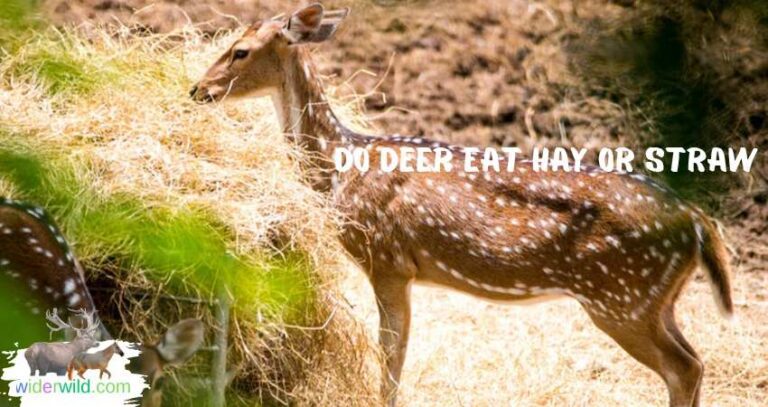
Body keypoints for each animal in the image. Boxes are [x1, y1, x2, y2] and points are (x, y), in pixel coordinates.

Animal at [190, 4, 734, 407]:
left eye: (239, 51)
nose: (197, 89)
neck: (341, 167)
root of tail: (697, 221)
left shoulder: (387, 260)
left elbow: (391, 356)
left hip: (620, 297)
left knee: (684, 368)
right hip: (653, 299)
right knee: (695, 361)